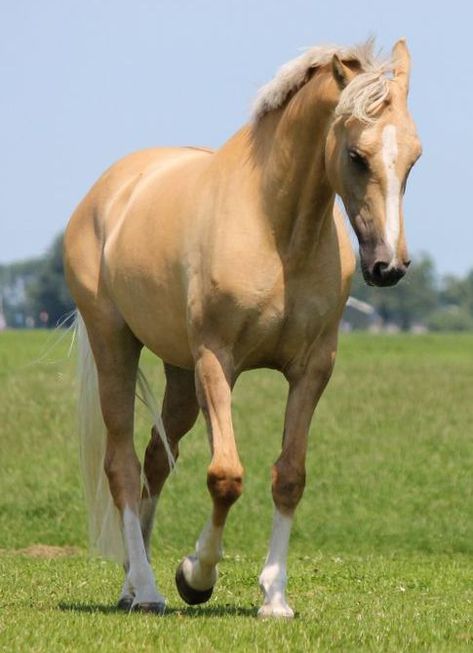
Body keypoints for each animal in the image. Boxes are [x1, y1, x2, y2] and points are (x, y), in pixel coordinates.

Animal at [63, 38, 420, 612]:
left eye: (414, 157)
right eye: (356, 156)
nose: (388, 266)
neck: (275, 231)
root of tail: (108, 191)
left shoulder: (312, 369)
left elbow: (289, 477)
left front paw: (274, 596)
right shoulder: (217, 363)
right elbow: (225, 476)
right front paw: (196, 574)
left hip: (180, 375)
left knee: (154, 462)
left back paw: (131, 582)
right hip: (115, 345)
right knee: (122, 465)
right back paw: (147, 588)